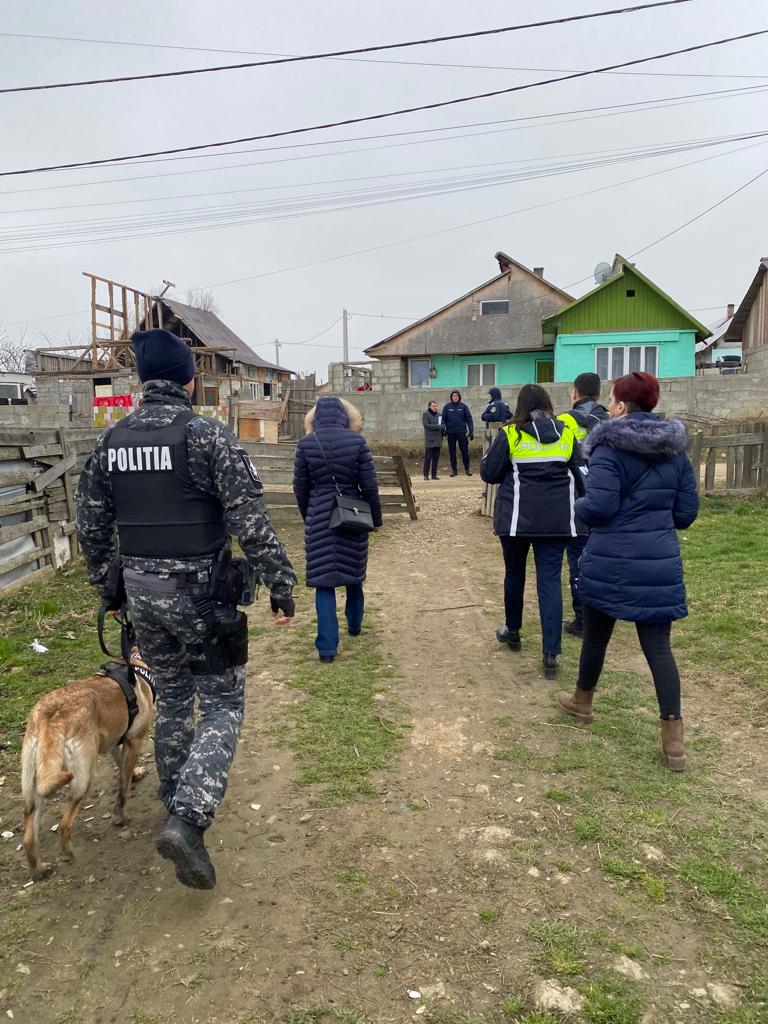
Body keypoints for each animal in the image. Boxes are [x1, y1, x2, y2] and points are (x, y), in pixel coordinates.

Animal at [21, 650, 156, 880]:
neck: (135, 663)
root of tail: (52, 719)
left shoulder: (115, 741)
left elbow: (121, 766)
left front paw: (135, 773)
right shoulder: (134, 740)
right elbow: (123, 787)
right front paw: (120, 816)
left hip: (32, 786)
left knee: (29, 837)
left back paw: (39, 870)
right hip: (84, 777)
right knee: (64, 825)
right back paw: (68, 854)